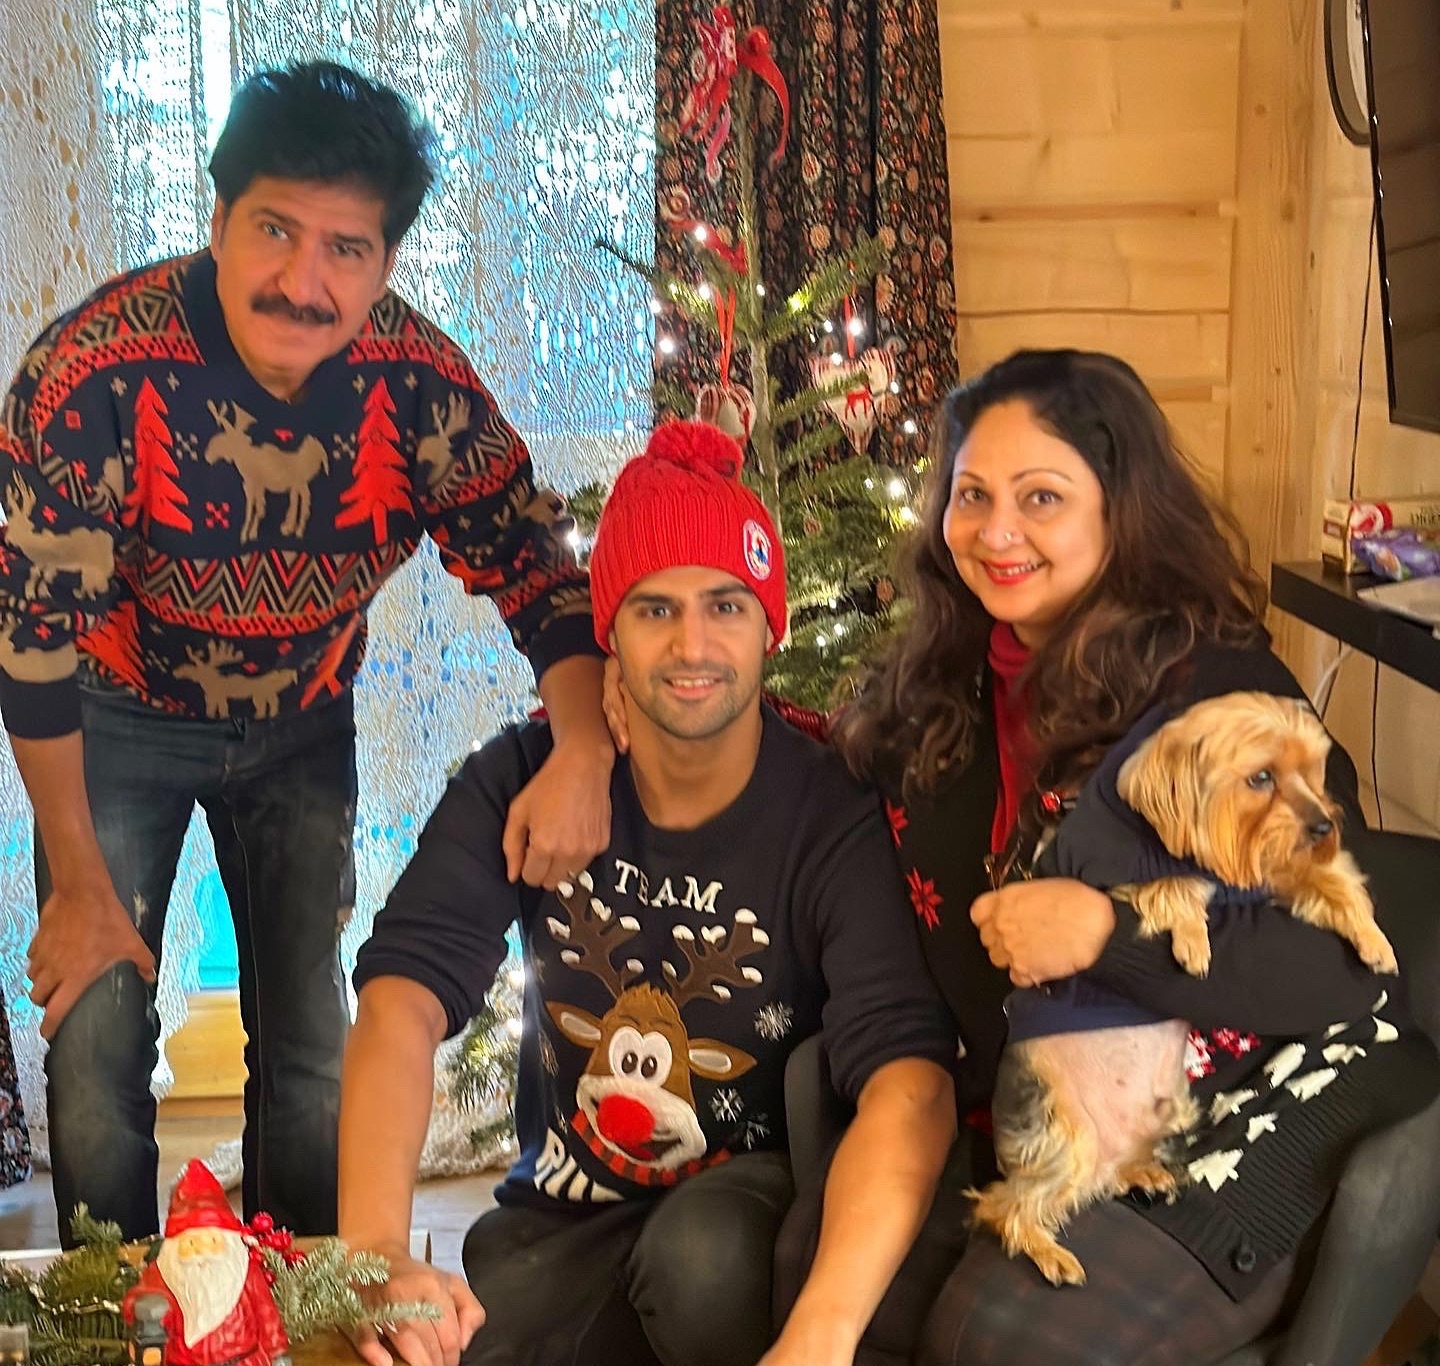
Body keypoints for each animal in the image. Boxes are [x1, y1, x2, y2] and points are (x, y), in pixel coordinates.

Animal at [967, 693, 1393, 1289]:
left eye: (1314, 772)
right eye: (1261, 777)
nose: (1323, 825)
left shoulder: (1271, 868)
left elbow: (1326, 883)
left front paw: (1373, 940)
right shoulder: (1113, 874)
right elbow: (1171, 884)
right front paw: (1194, 940)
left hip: (1161, 1114)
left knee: (1097, 1178)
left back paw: (1143, 1174)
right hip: (1064, 1136)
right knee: (1003, 1205)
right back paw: (1050, 1253)